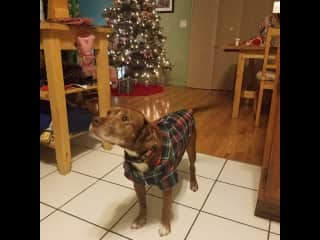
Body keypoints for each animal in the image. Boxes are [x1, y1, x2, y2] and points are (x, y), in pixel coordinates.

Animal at [89, 107, 198, 236]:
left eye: (125, 118)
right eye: (108, 113)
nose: (94, 120)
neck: (142, 156)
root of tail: (186, 110)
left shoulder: (166, 184)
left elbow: (165, 208)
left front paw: (165, 225)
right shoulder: (137, 182)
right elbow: (142, 203)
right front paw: (141, 219)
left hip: (191, 147)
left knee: (192, 166)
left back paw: (193, 183)